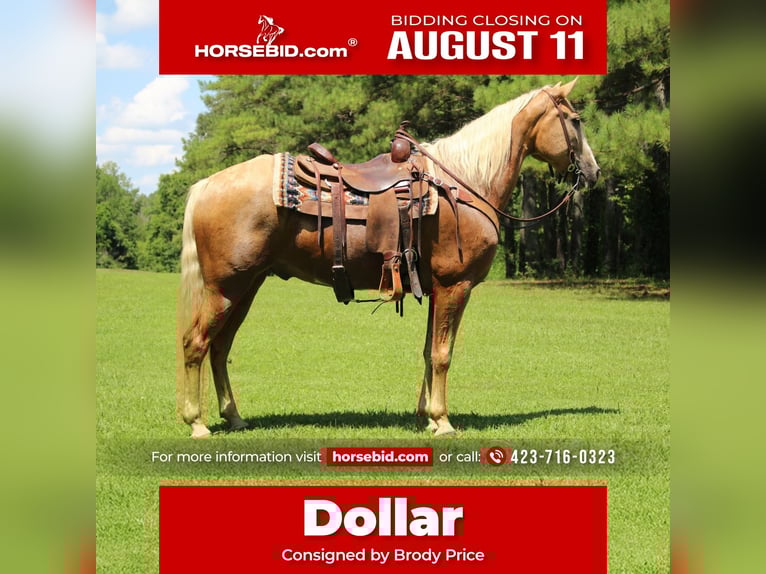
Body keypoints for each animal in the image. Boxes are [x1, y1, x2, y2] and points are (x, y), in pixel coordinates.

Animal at [176, 78, 600, 438]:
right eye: (575, 121)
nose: (594, 172)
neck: (463, 183)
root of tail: (206, 184)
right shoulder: (455, 286)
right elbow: (443, 354)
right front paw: (443, 422)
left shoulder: (435, 289)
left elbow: (429, 351)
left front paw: (427, 416)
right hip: (226, 288)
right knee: (196, 343)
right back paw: (197, 423)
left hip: (246, 286)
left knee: (220, 347)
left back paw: (234, 417)